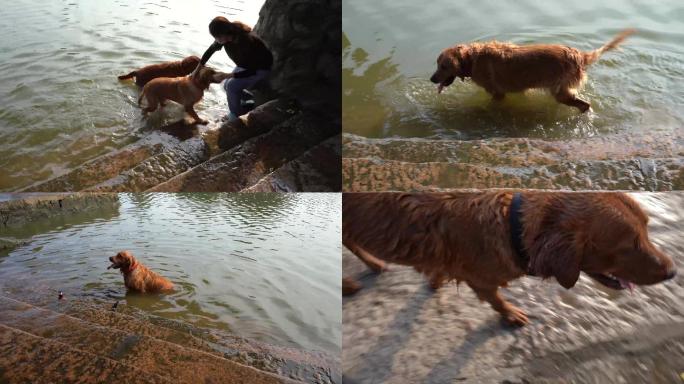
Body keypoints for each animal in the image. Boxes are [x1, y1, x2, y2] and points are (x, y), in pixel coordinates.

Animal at [344, 192, 676, 324]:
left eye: (647, 228)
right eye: (628, 245)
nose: (673, 271)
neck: (511, 226)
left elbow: (438, 270)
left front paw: (434, 279)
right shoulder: (481, 280)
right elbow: (496, 300)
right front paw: (511, 314)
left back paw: (372, 264)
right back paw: (350, 283)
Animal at [432, 29, 636, 111]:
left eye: (444, 66)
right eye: (437, 63)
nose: (432, 79)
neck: (471, 59)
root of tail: (579, 55)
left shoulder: (497, 94)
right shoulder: (521, 89)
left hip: (561, 92)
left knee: (584, 105)